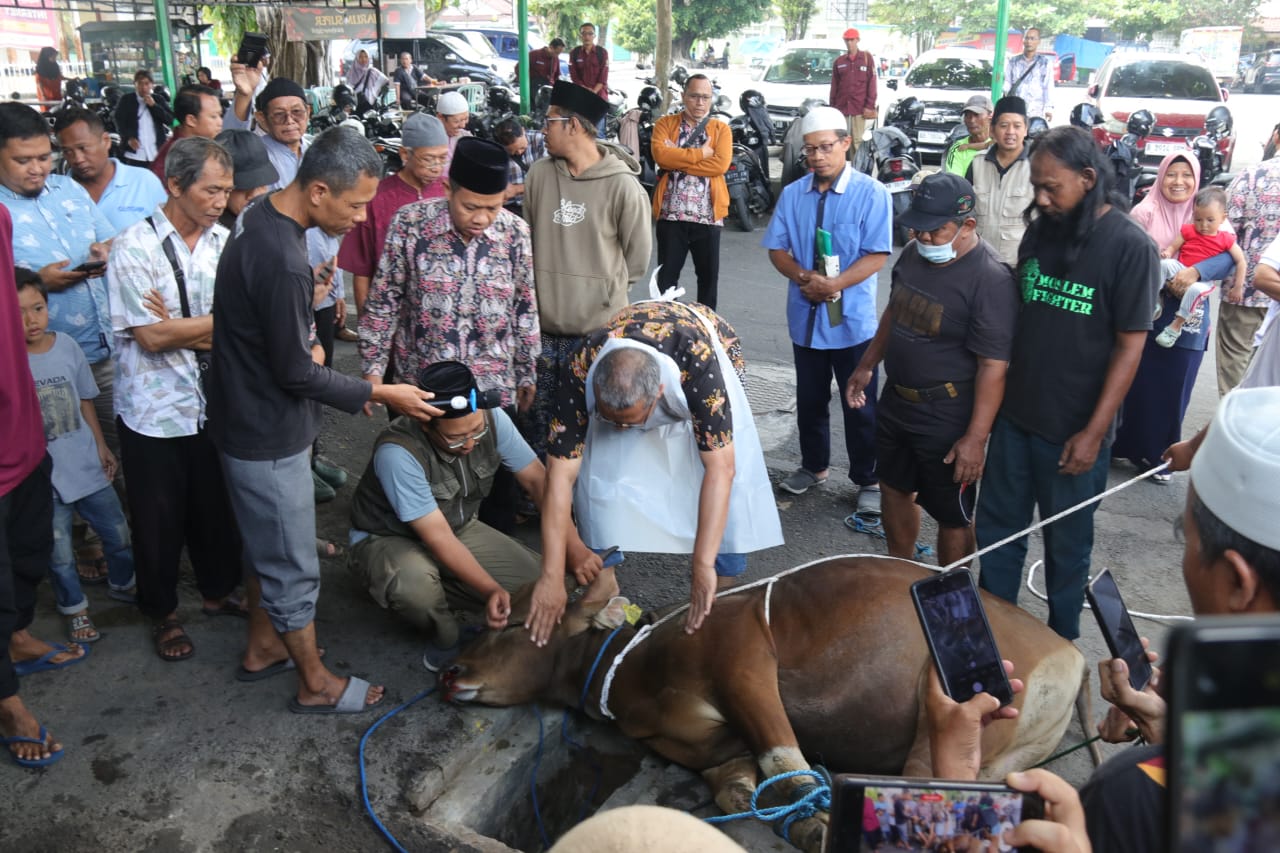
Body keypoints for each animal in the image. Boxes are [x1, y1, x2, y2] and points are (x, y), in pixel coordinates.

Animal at [435, 555, 1085, 845]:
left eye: (514, 623)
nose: (450, 671)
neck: (636, 661)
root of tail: (1071, 658)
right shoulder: (710, 750)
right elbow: (744, 790)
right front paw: (803, 823)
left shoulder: (744, 660)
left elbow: (787, 766)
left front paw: (818, 825)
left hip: (942, 709)